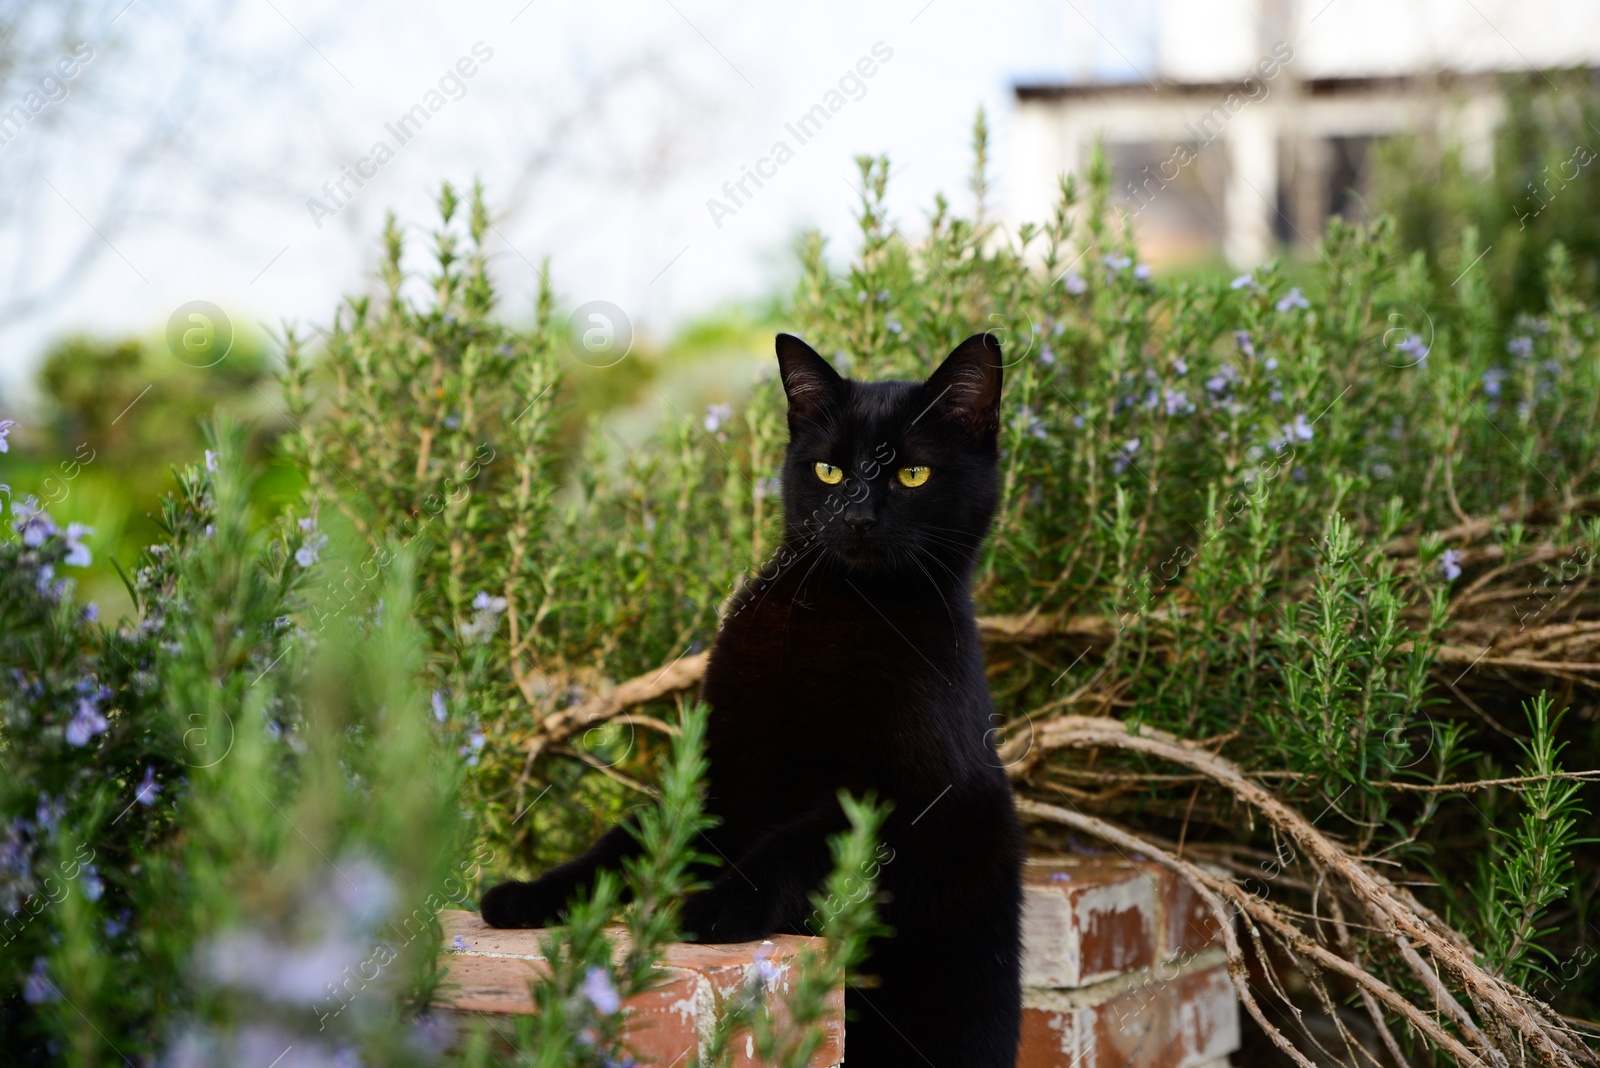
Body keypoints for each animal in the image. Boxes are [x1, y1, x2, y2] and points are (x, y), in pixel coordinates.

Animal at [476, 334, 1024, 1068]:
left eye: (913, 475)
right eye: (828, 471)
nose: (856, 517)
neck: (843, 608)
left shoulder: (905, 792)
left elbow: (794, 843)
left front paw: (711, 907)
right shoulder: (724, 773)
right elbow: (630, 842)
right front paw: (537, 895)